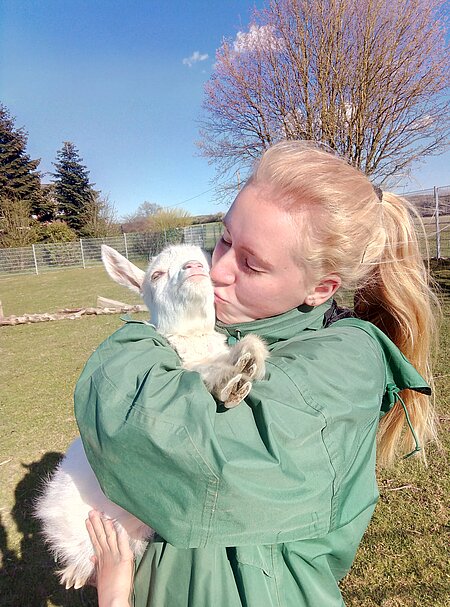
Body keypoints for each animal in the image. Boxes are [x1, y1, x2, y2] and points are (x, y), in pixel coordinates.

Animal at [36, 245, 268, 592]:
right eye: (156, 275)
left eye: (208, 260)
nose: (194, 267)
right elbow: (200, 372)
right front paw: (230, 381)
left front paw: (249, 360)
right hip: (65, 514)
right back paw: (74, 574)